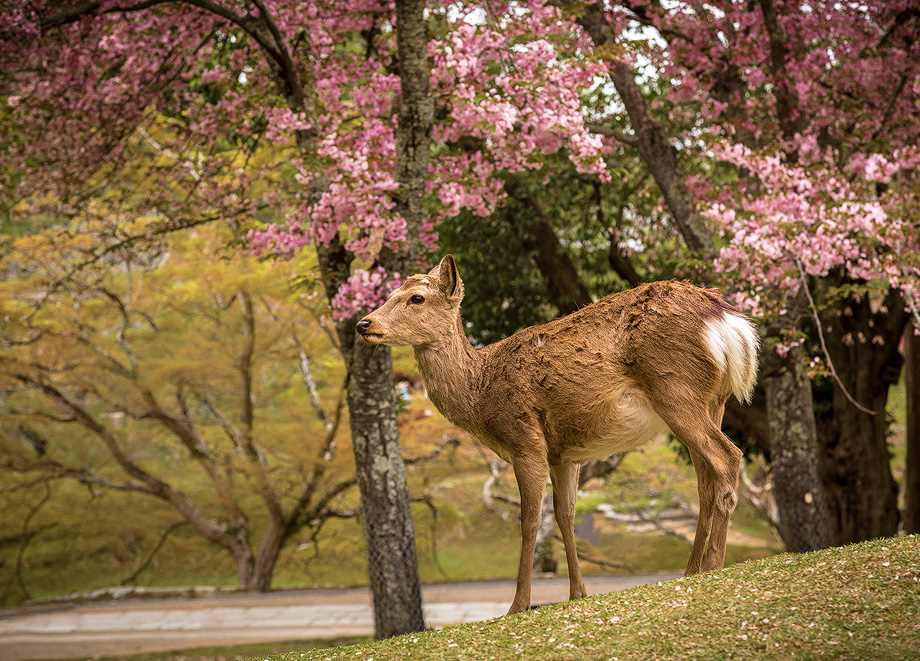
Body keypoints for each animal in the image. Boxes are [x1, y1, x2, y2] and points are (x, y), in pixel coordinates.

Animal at [356, 254, 760, 612]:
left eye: (416, 298)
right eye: (389, 292)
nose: (363, 323)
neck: (481, 391)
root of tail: (728, 322)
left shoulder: (525, 439)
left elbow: (530, 520)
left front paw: (518, 605)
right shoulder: (565, 453)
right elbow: (565, 516)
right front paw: (578, 593)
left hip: (674, 387)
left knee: (729, 456)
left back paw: (713, 566)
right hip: (711, 401)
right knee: (705, 478)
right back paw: (691, 570)